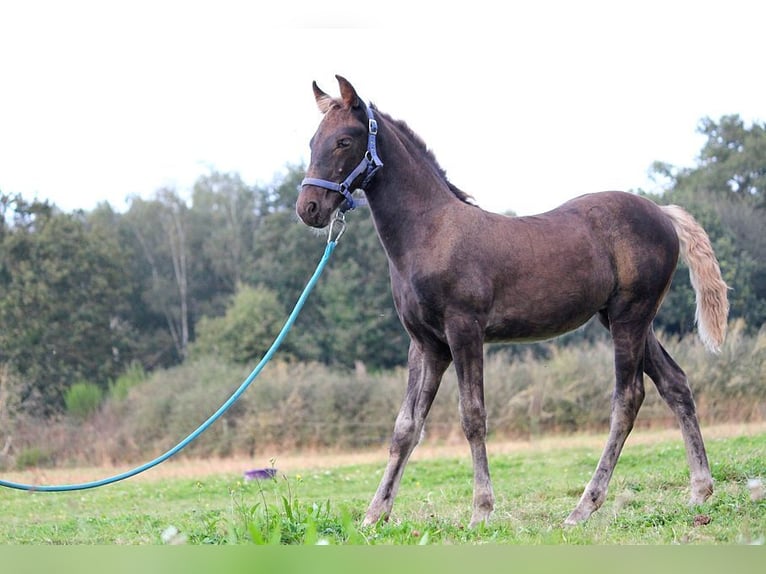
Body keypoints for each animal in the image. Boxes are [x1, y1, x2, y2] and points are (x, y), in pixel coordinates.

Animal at [296, 76, 732, 532]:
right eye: (312, 141)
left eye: (344, 141)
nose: (309, 208)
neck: (430, 233)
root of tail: (663, 212)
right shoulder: (427, 344)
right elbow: (405, 426)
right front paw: (375, 514)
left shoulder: (464, 331)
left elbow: (472, 416)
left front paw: (482, 510)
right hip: (621, 319)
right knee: (675, 383)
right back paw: (700, 489)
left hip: (631, 316)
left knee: (628, 399)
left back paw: (584, 506)